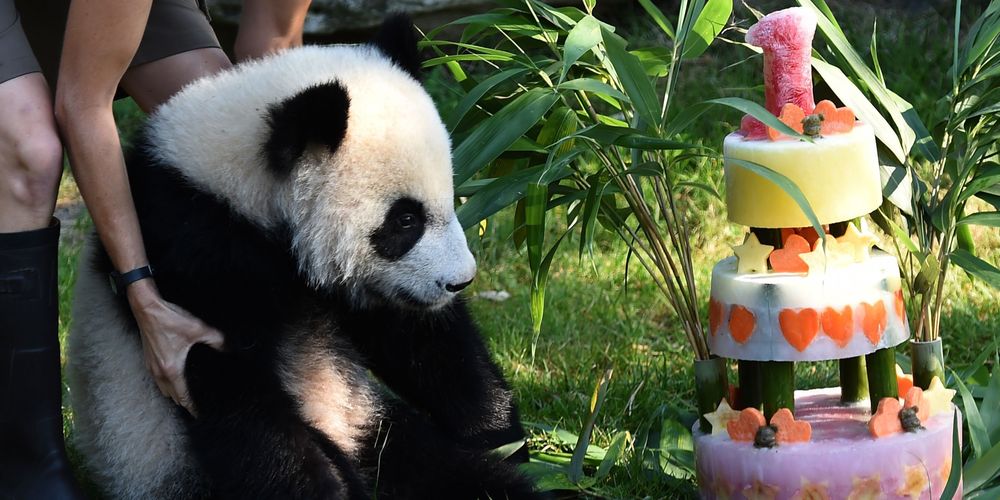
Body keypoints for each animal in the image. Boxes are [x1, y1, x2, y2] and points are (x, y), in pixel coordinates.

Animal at [66, 15, 540, 500]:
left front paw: (503, 438)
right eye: (406, 220)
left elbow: (422, 341)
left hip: (370, 418)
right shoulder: (191, 255)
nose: (459, 281)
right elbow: (238, 396)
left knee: (436, 465)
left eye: (447, 197)